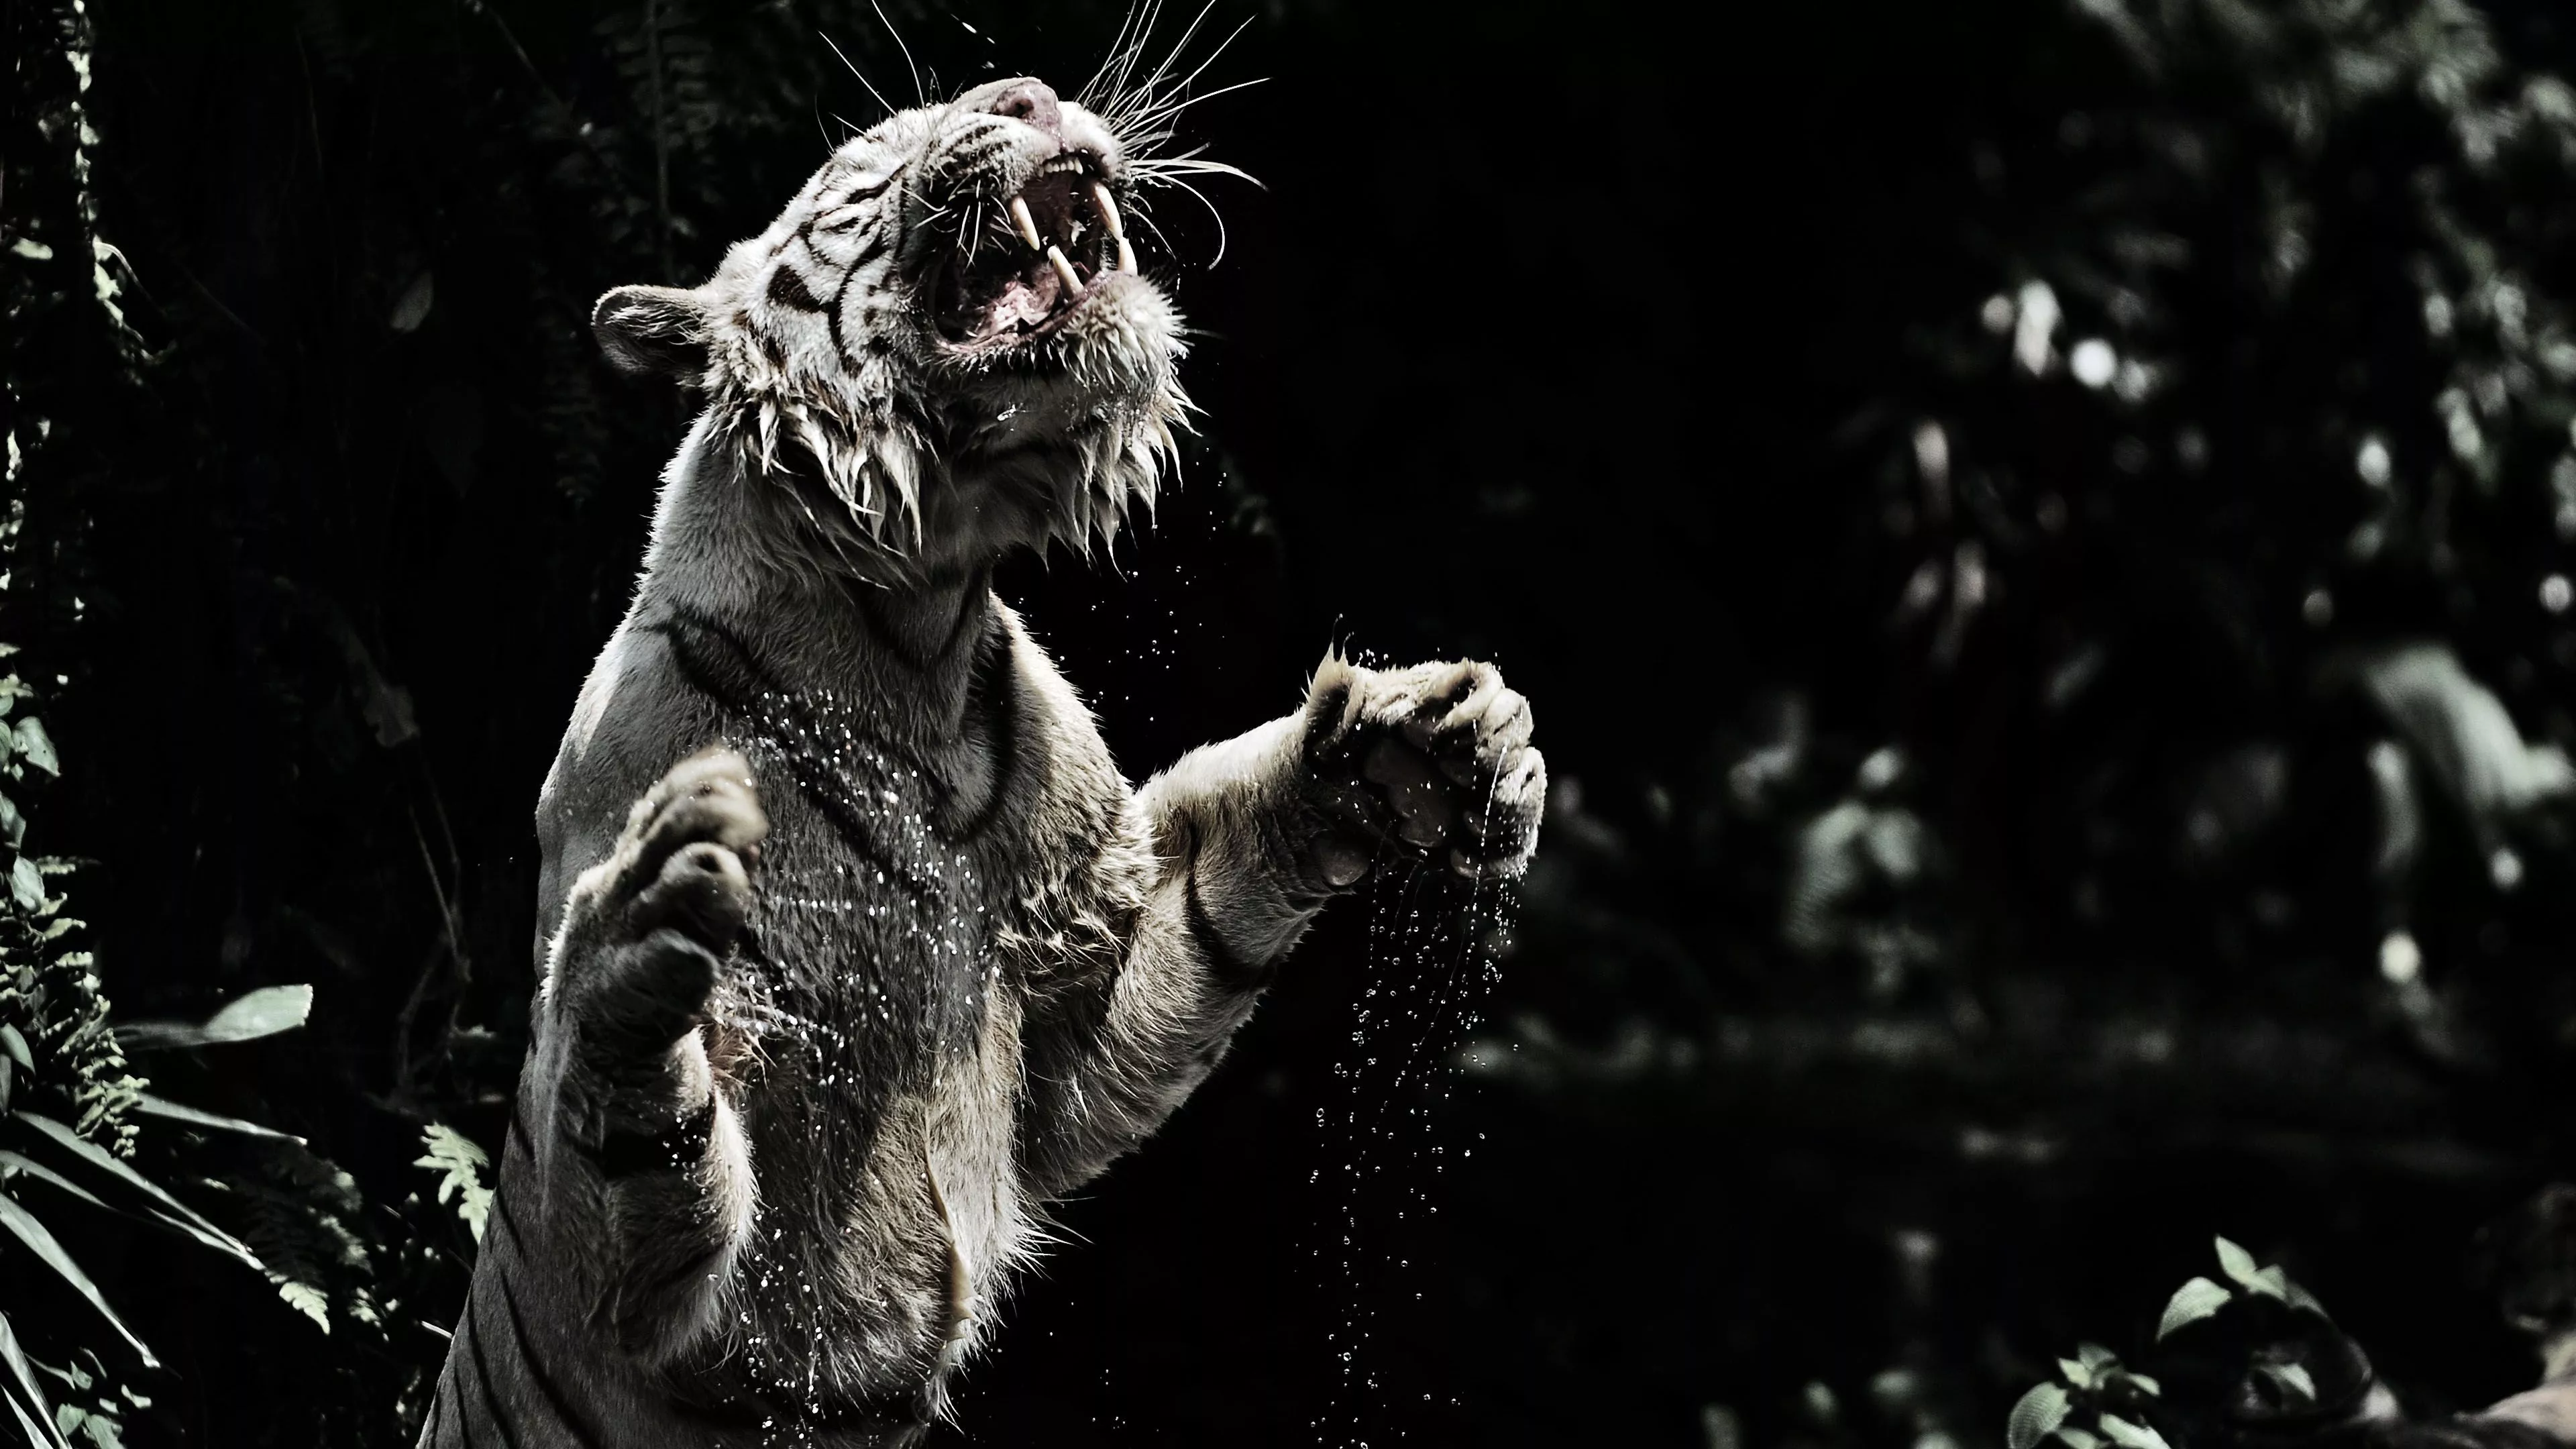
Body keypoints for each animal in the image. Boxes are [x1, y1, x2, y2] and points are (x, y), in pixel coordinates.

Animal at [417, 70, 1545, 1448]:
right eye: (865, 163)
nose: (1032, 92)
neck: (919, 640)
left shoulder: (1074, 992)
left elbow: (1217, 899)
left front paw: (1422, 746)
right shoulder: (674, 1283)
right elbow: (629, 1148)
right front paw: (640, 937)